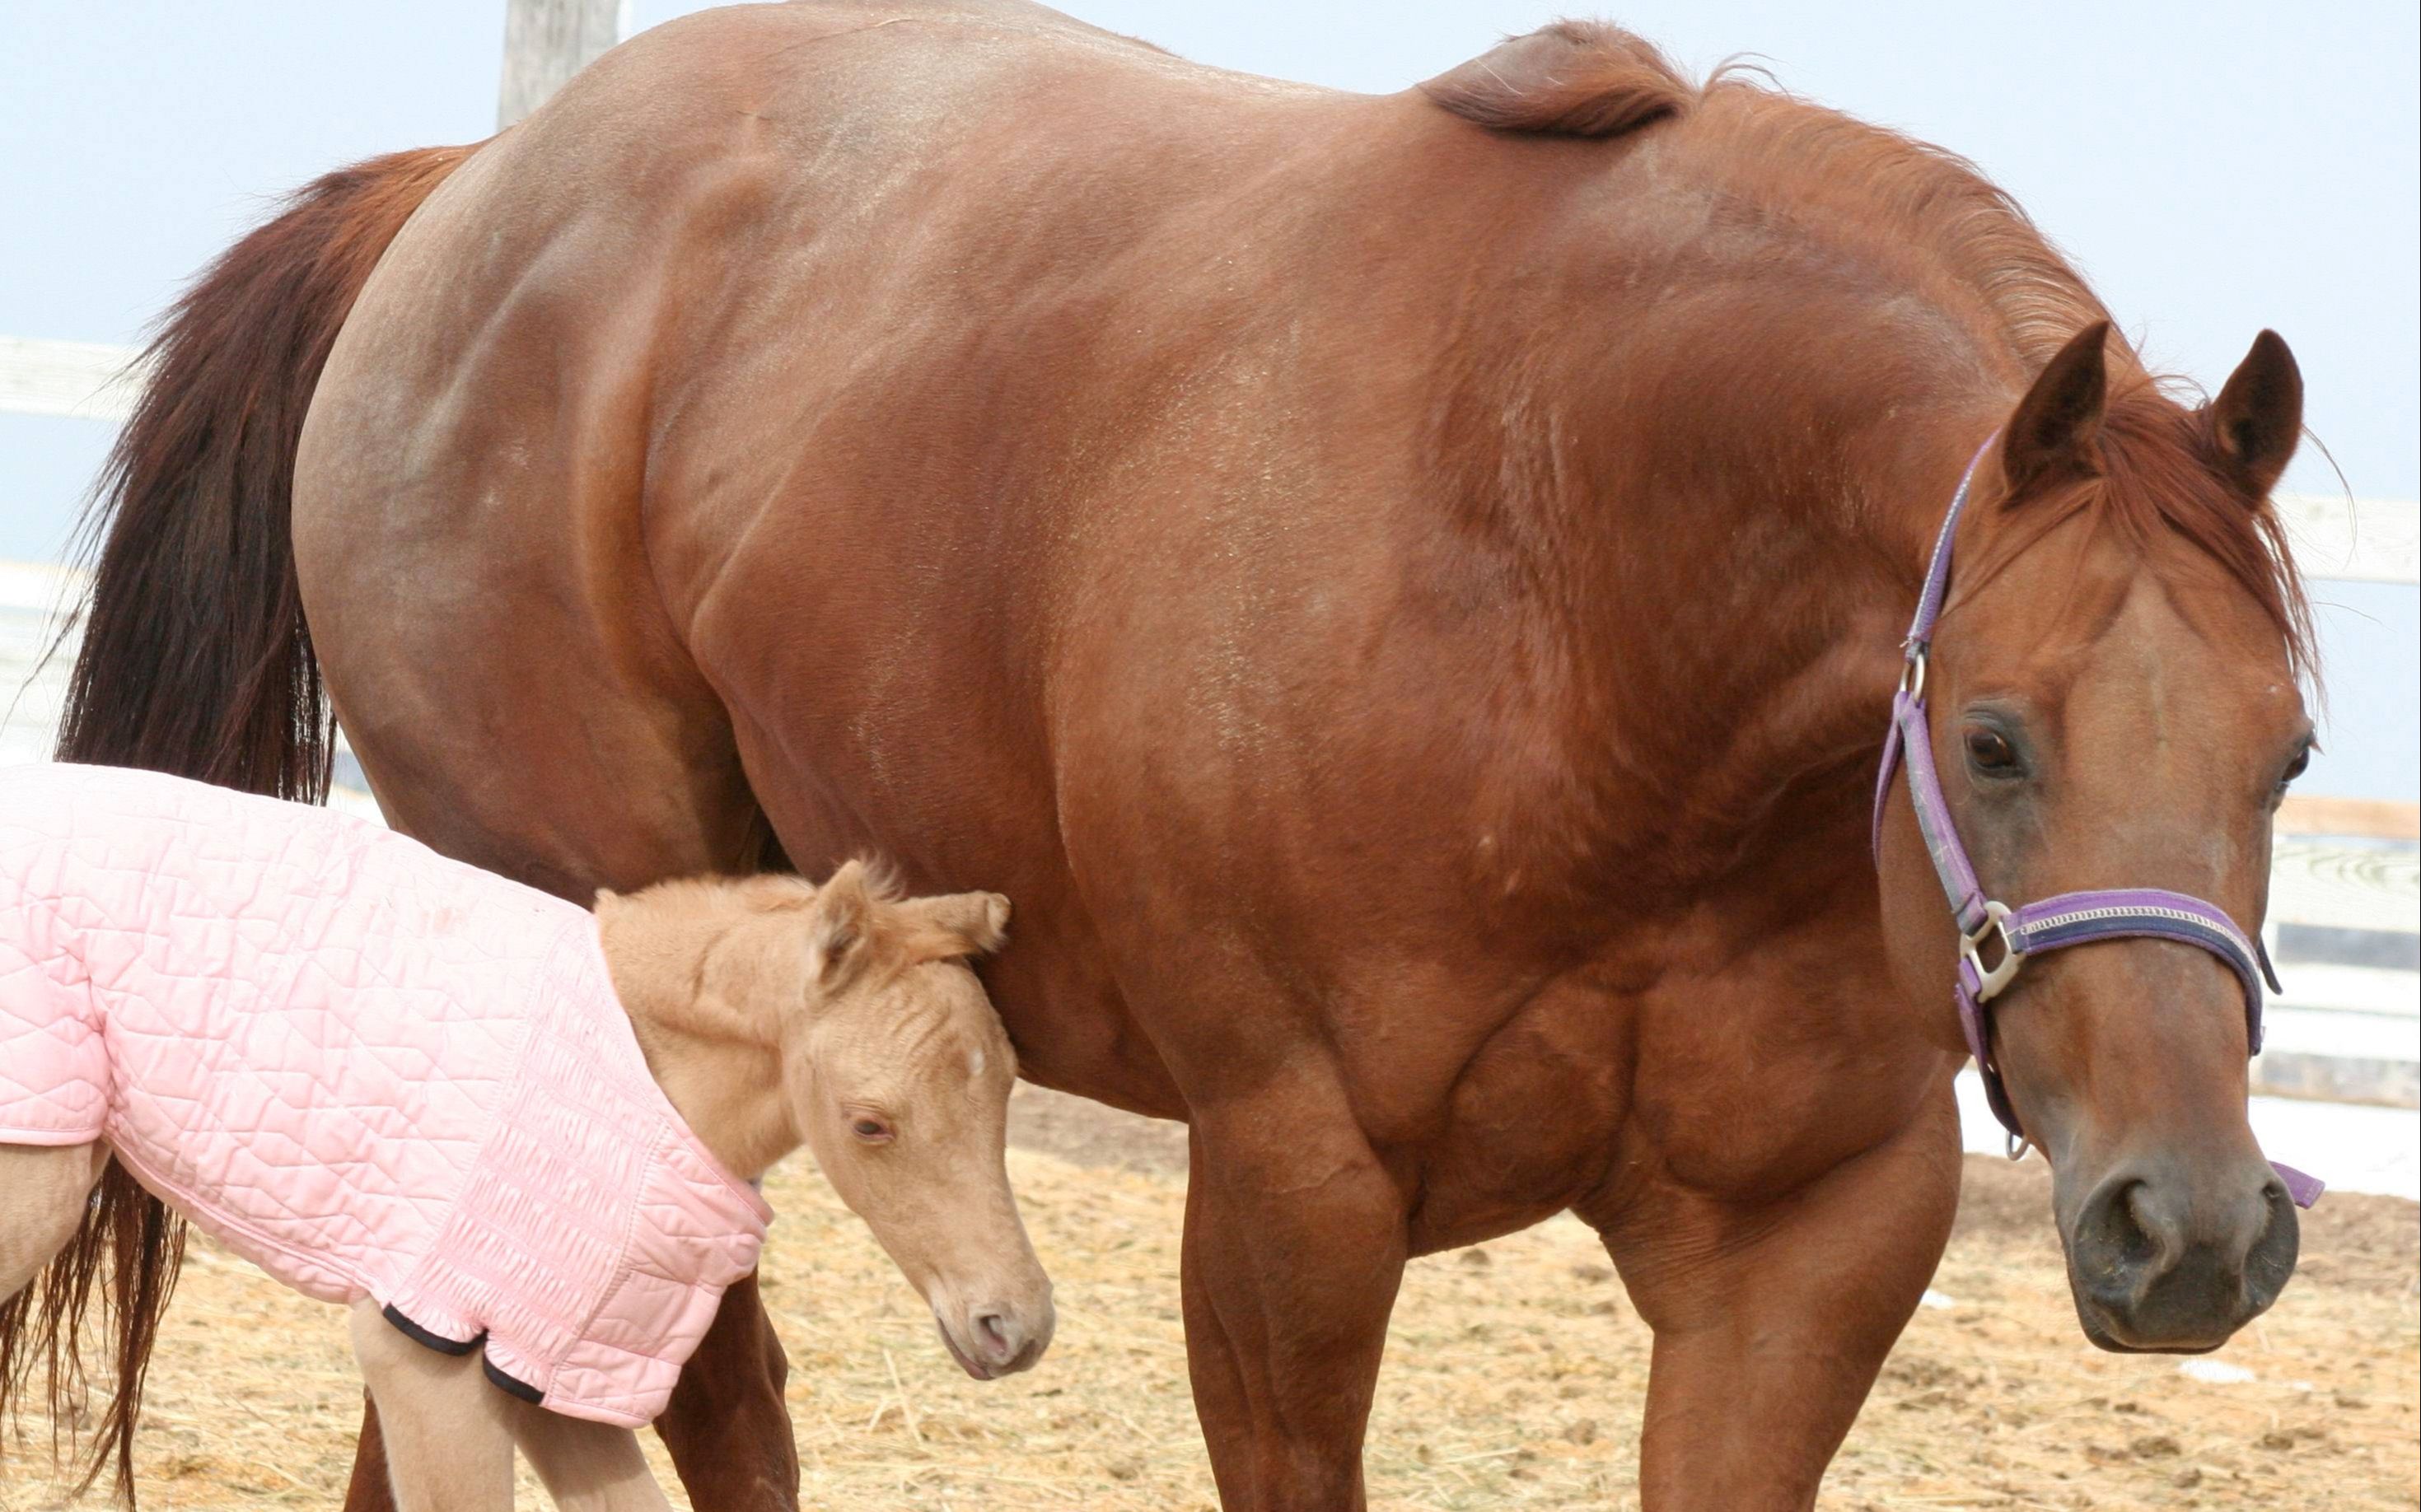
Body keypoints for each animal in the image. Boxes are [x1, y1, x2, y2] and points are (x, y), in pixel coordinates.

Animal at [57, 6, 2314, 1500]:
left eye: (2288, 752)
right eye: (1993, 738)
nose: (2189, 1229)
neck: (1571, 580)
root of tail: (459, 205)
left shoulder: (1809, 1246)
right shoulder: (1284, 1202)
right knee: (707, 1400)